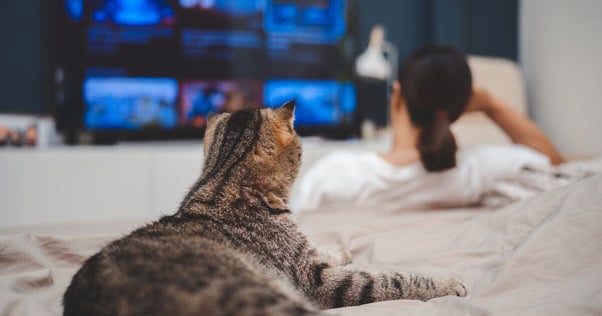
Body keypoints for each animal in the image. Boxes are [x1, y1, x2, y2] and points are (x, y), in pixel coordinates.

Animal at [62, 102, 464, 316]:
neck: (220, 184)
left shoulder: (306, 257)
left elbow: (324, 251)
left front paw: (339, 250)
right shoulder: (313, 281)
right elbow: (392, 280)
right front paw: (447, 284)